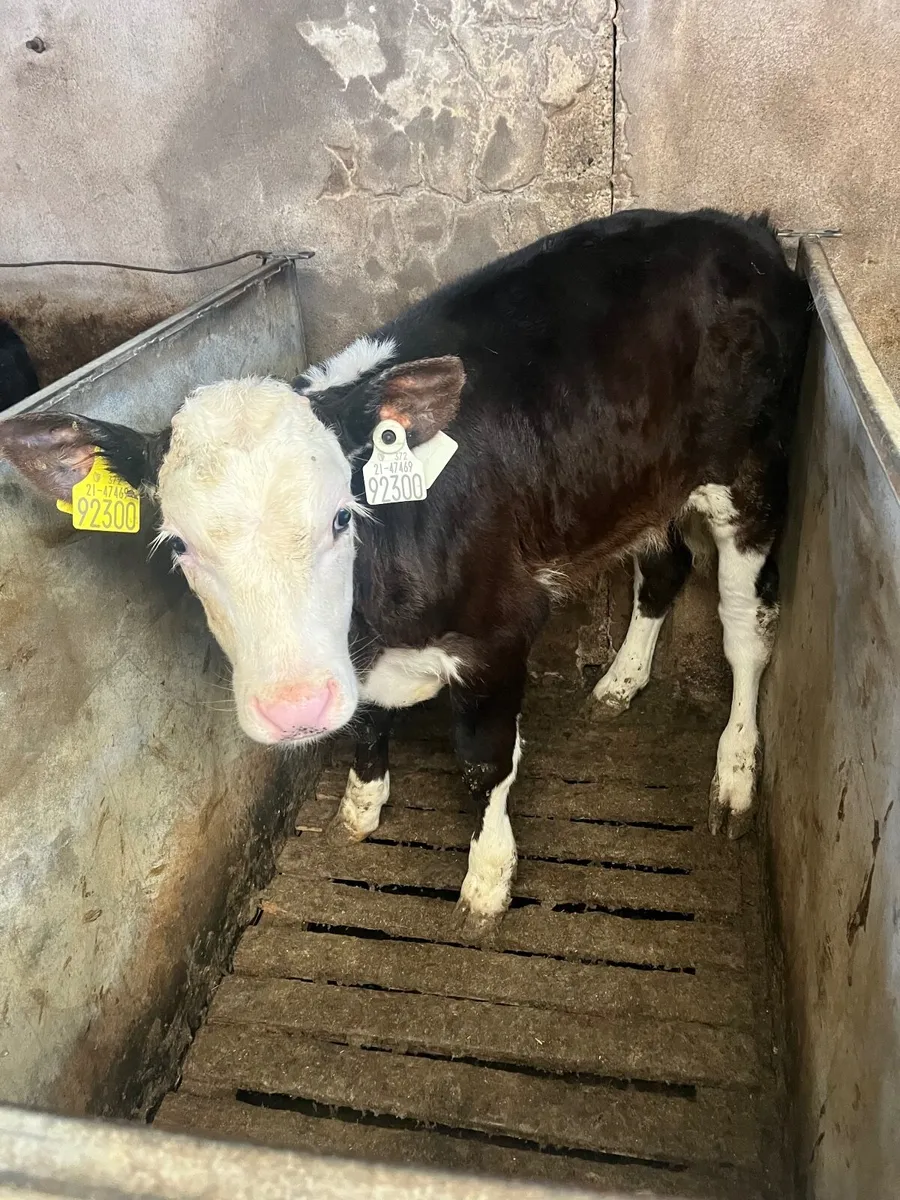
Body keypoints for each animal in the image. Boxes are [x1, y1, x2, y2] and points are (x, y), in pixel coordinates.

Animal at [0, 208, 810, 937]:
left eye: (341, 516)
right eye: (179, 546)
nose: (293, 706)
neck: (374, 627)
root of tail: (743, 227)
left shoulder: (501, 632)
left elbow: (486, 763)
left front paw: (487, 880)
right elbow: (363, 725)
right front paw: (360, 808)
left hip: (753, 472)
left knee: (748, 629)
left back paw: (735, 773)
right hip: (640, 486)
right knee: (665, 568)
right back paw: (620, 681)